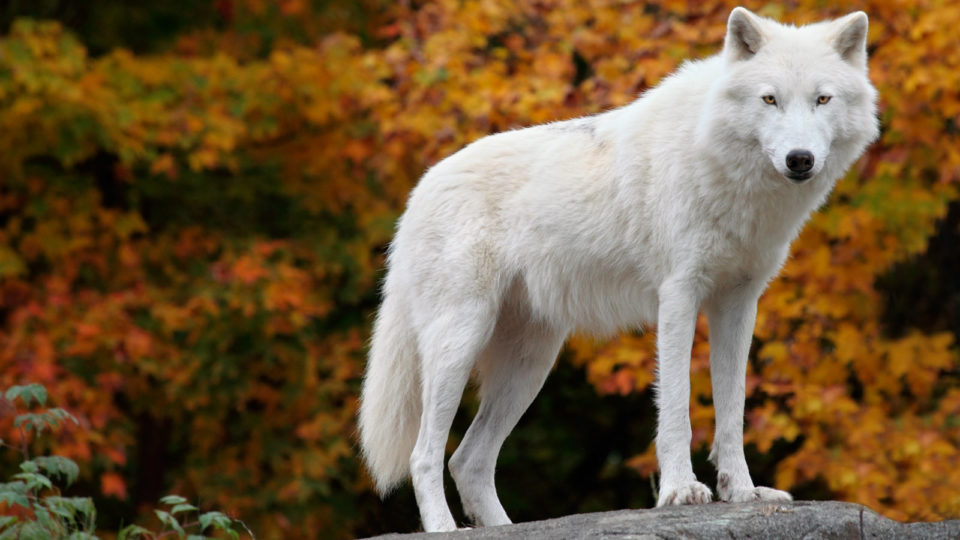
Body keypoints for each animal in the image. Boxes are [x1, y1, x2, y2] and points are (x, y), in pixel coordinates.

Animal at [358, 6, 876, 532]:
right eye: (770, 99)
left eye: (822, 99)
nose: (799, 159)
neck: (720, 162)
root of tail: (418, 192)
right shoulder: (679, 296)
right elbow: (677, 405)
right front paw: (680, 491)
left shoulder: (738, 303)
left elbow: (732, 409)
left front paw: (742, 492)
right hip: (459, 344)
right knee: (425, 455)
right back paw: (445, 529)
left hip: (529, 366)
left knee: (468, 460)